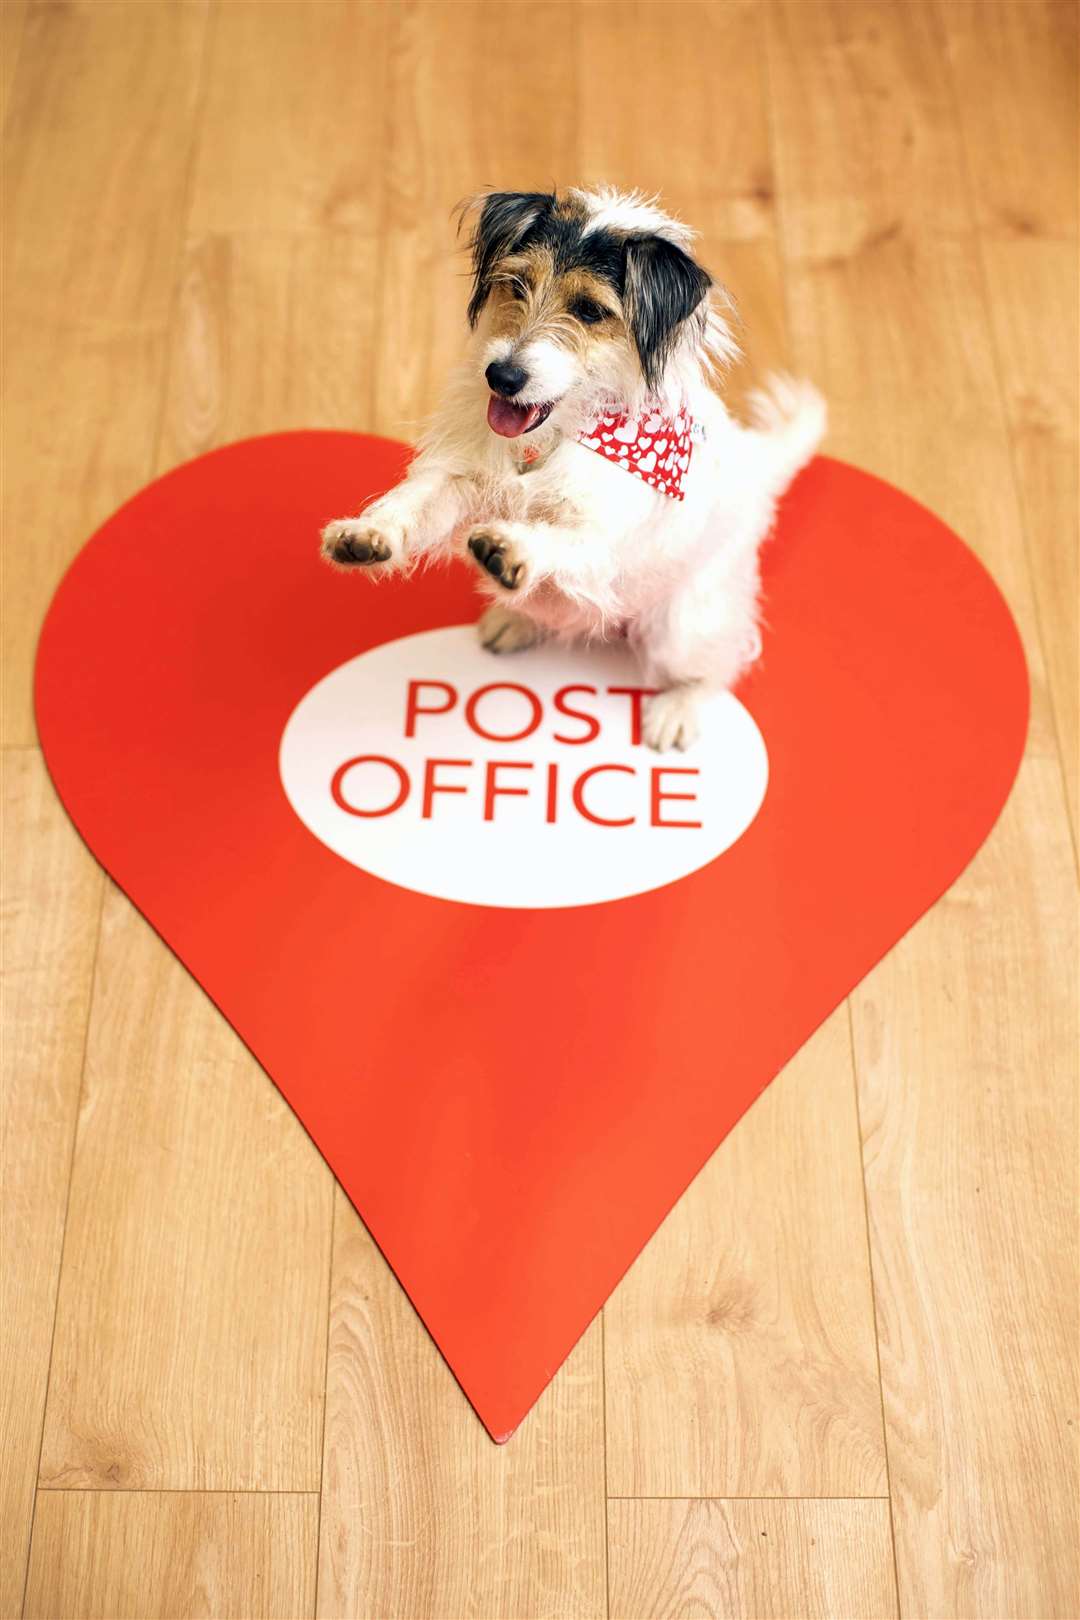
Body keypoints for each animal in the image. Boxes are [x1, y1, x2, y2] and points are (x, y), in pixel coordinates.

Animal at [323, 186, 829, 748]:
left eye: (589, 310)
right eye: (516, 284)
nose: (502, 376)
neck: (555, 437)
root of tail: (754, 468)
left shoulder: (600, 541)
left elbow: (558, 540)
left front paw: (511, 549)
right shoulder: (458, 477)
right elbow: (412, 504)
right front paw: (369, 535)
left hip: (686, 625)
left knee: (715, 667)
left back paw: (679, 706)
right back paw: (515, 617)